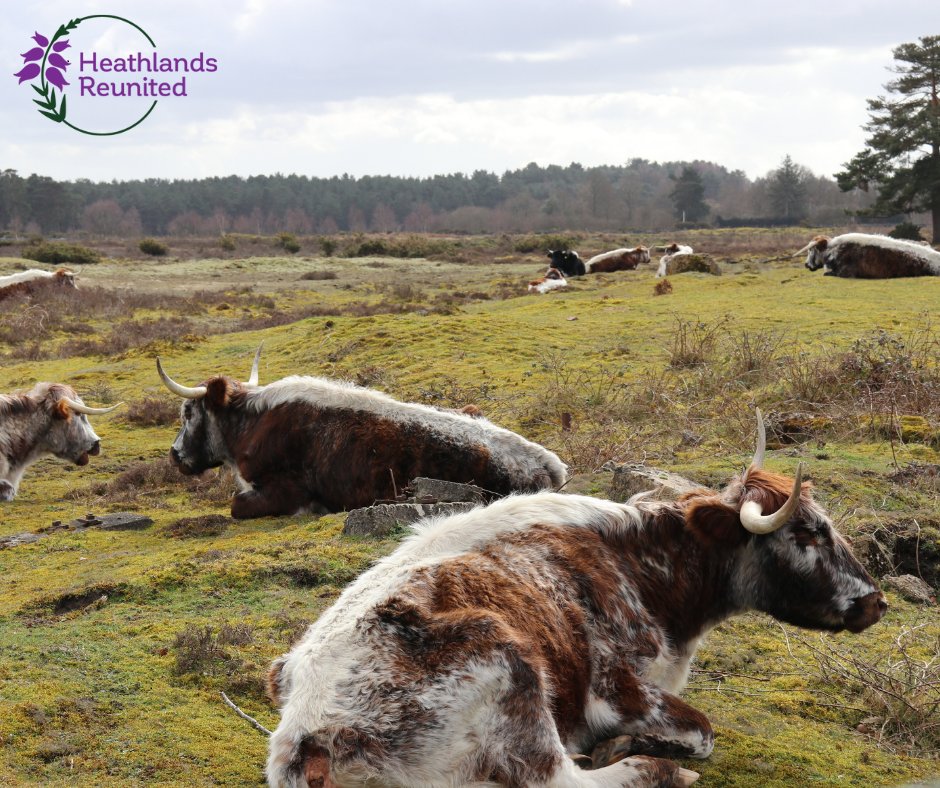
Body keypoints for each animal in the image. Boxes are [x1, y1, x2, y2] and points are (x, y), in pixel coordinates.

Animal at [156, 352, 567, 519]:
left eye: (187, 412)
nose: (174, 455)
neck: (252, 424)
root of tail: (550, 464)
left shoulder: (283, 490)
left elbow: (237, 505)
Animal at [265, 410, 886, 788]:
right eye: (808, 533)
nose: (876, 602)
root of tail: (306, 737)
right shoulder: (618, 690)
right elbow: (703, 733)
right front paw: (636, 747)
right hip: (511, 667)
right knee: (562, 778)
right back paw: (650, 767)